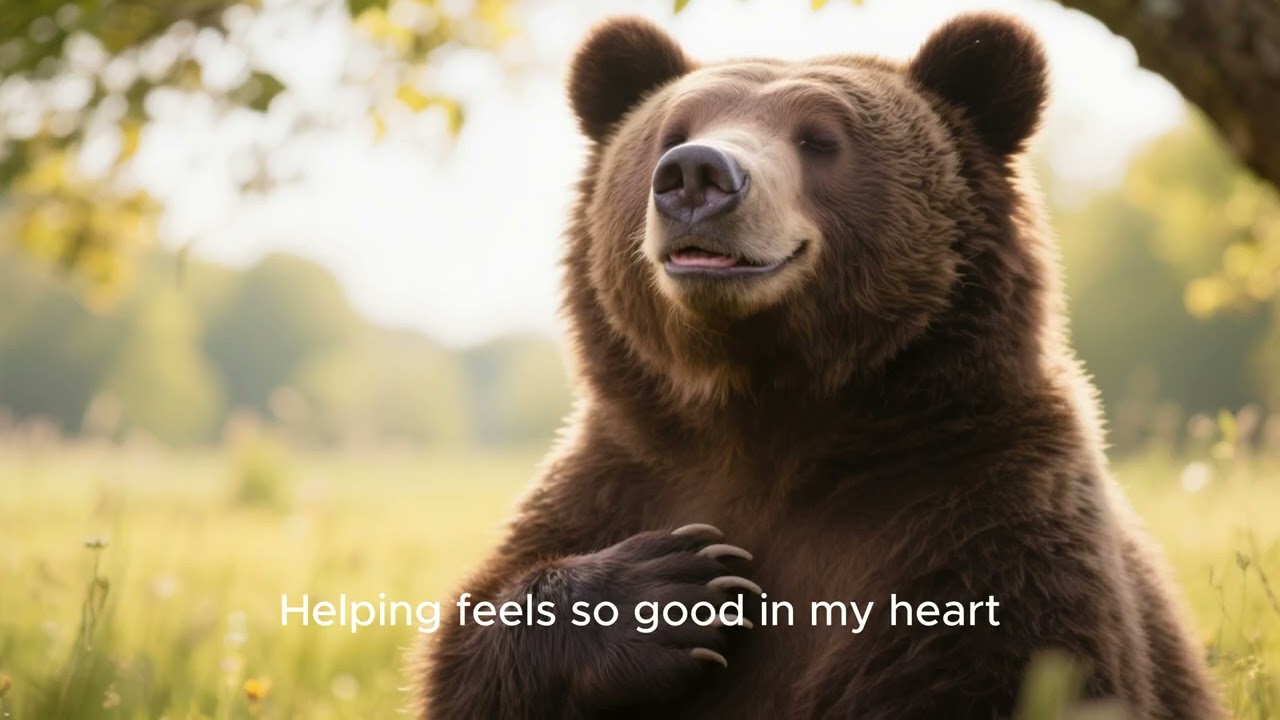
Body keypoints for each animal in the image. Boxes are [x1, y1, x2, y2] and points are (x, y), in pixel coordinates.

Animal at [416, 13, 1226, 720]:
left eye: (820, 138)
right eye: (671, 132)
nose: (697, 174)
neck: (773, 406)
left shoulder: (981, 510)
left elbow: (996, 668)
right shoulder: (621, 478)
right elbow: (471, 644)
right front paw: (677, 585)